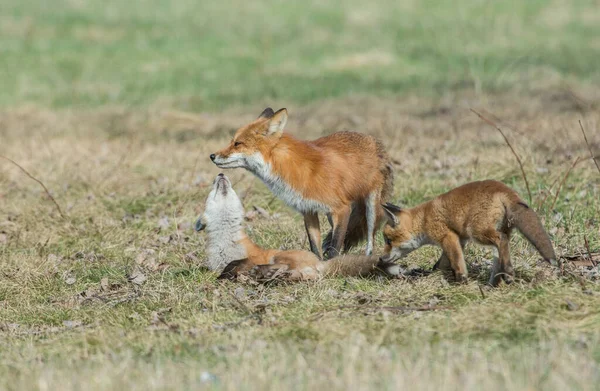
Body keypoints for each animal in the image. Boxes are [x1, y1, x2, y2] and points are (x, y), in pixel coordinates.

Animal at [211, 108, 394, 260]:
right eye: (232, 141)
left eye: (238, 144)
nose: (212, 156)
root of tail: (373, 139)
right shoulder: (308, 210)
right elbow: (315, 247)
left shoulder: (342, 208)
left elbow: (335, 247)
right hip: (333, 215)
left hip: (371, 206)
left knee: (369, 236)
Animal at [380, 181, 556, 288]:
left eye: (388, 240)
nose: (380, 259)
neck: (424, 218)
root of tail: (504, 188)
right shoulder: (460, 240)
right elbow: (442, 263)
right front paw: (438, 275)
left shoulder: (447, 236)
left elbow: (457, 262)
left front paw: (460, 280)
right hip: (493, 232)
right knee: (500, 252)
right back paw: (493, 283)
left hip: (478, 232)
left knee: (502, 240)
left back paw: (508, 273)